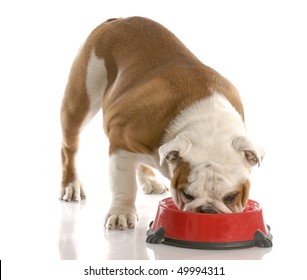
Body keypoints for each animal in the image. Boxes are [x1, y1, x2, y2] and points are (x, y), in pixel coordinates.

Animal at [60, 17, 264, 230]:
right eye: (187, 194)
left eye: (232, 196)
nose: (207, 211)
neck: (208, 125)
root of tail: (117, 20)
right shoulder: (120, 144)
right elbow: (124, 185)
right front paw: (121, 213)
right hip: (81, 98)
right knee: (69, 147)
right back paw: (71, 185)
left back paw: (150, 179)